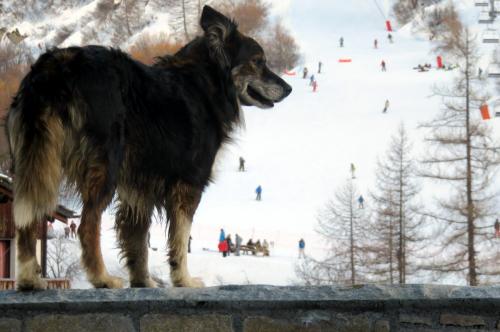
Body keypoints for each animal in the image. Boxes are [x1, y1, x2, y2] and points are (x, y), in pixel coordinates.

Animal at [6, 5, 290, 290]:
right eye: (258, 61)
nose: (288, 88)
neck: (207, 83)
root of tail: (57, 65)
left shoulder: (138, 188)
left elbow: (137, 240)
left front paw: (143, 281)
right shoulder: (188, 185)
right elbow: (179, 239)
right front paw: (183, 280)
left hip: (38, 158)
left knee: (27, 220)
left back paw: (30, 278)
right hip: (104, 165)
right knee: (87, 224)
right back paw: (102, 278)